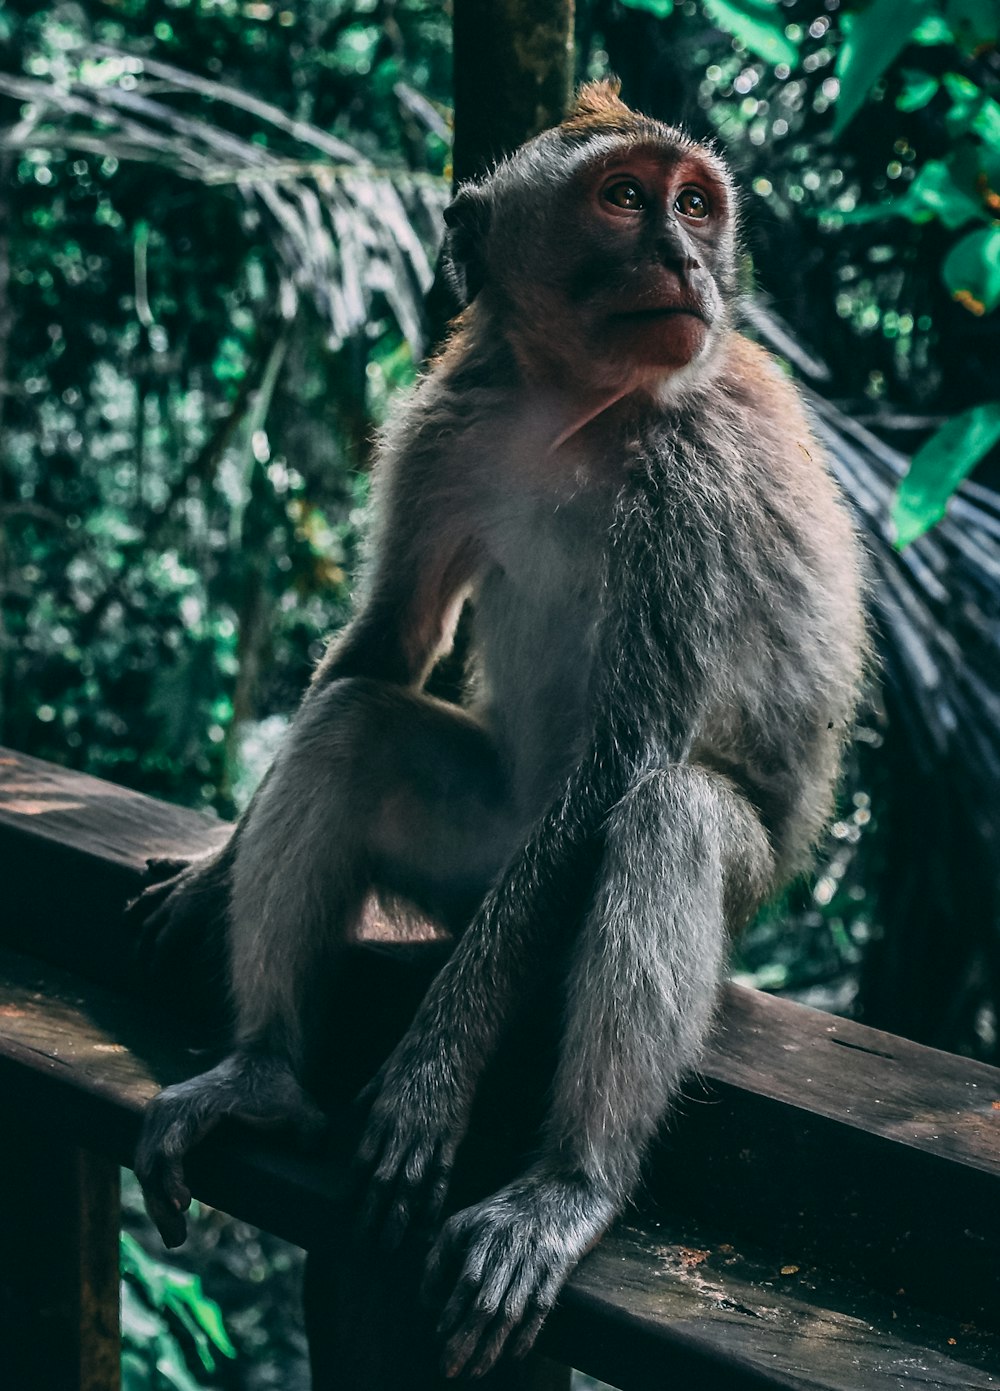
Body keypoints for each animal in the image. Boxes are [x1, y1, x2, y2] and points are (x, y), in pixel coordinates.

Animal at [132, 84, 867, 1379]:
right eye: (624, 198)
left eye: (695, 204)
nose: (686, 259)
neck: (577, 405)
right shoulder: (447, 418)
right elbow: (387, 640)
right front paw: (211, 872)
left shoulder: (693, 478)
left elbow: (626, 755)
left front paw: (432, 1075)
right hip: (477, 864)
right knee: (353, 724)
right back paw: (262, 1071)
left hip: (637, 897)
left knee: (666, 813)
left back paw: (570, 1184)